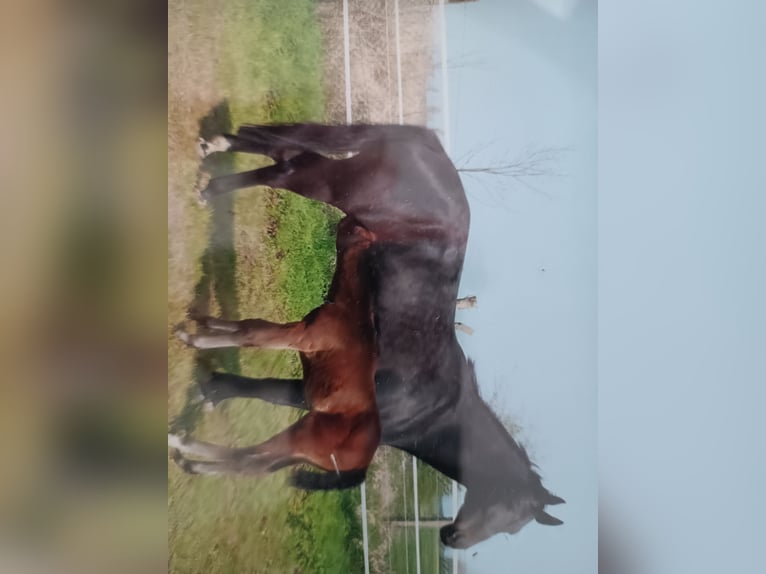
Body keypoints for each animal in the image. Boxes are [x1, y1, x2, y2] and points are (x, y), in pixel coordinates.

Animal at [170, 219, 380, 482]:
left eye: (352, 226)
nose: (340, 218)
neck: (347, 310)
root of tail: (363, 464)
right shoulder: (297, 329)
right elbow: (250, 324)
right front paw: (199, 319)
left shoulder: (298, 336)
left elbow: (250, 336)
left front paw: (191, 338)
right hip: (300, 453)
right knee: (255, 465)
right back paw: (189, 463)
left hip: (304, 436)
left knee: (248, 456)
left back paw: (180, 444)